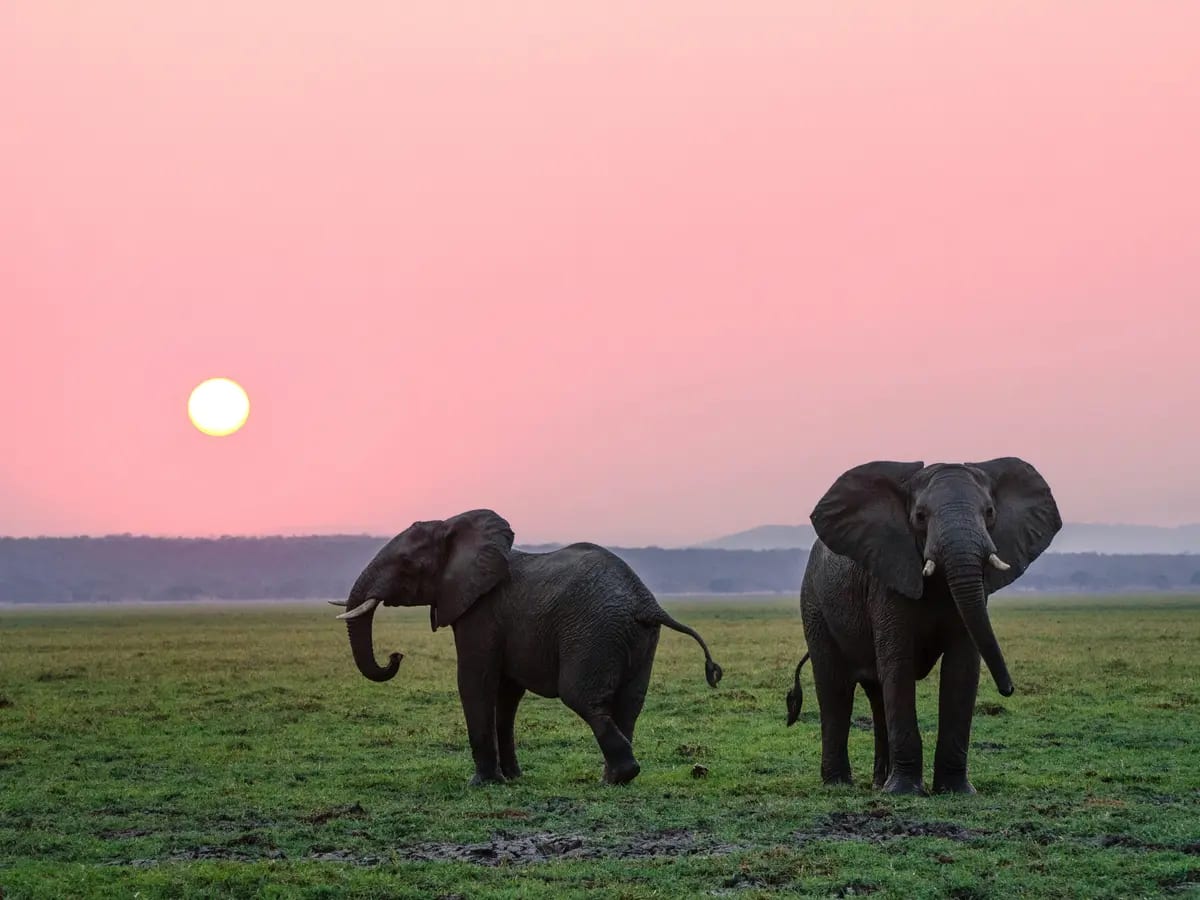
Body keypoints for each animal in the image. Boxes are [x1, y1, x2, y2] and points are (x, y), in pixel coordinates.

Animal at [331, 509, 723, 786]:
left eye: (407, 564)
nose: (395, 656)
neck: (454, 526)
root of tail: (646, 602)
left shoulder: (481, 612)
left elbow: (474, 681)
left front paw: (482, 783)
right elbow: (506, 695)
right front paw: (513, 778)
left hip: (594, 632)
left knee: (581, 697)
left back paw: (619, 776)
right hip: (637, 637)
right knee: (629, 703)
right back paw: (613, 778)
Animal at [786, 458, 1061, 795]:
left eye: (990, 512)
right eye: (919, 516)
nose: (1008, 689)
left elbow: (962, 668)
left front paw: (956, 791)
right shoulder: (888, 578)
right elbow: (898, 664)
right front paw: (904, 792)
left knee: (877, 694)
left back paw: (879, 783)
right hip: (814, 605)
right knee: (835, 688)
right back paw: (839, 785)